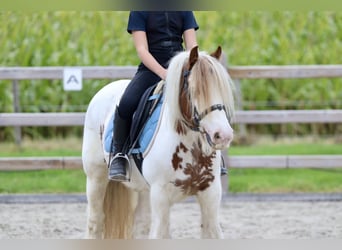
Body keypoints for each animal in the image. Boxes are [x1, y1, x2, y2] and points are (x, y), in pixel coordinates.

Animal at [81, 45, 234, 238]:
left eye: (222, 90)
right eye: (194, 90)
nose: (223, 135)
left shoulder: (210, 194)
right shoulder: (161, 196)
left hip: (143, 189)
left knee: (140, 225)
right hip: (96, 178)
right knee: (95, 222)